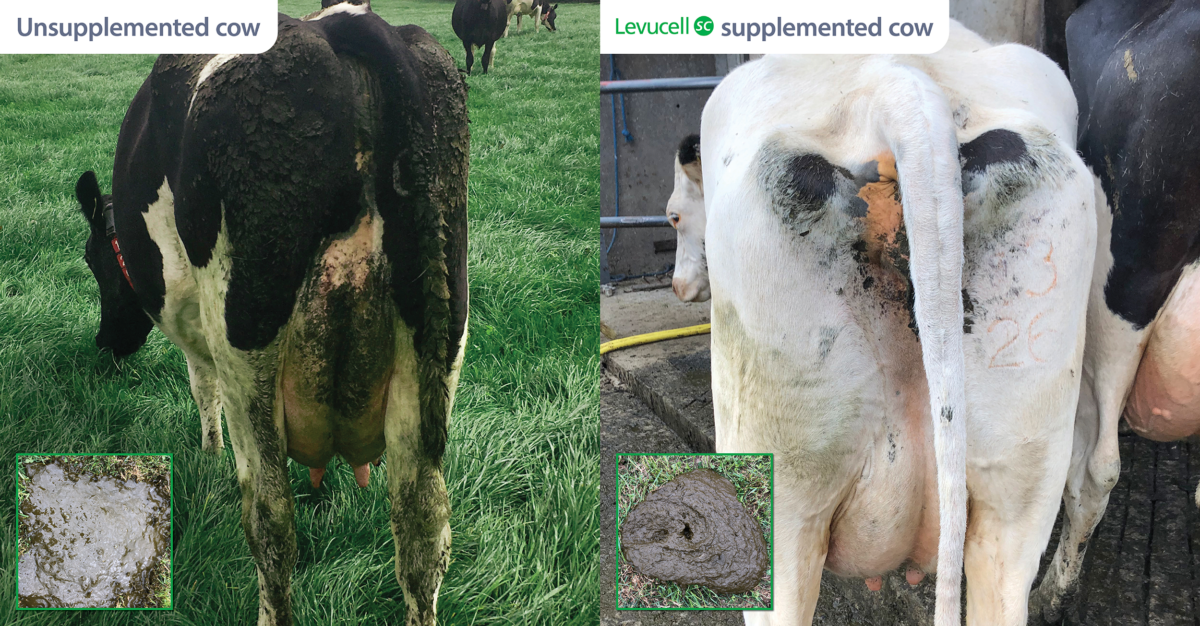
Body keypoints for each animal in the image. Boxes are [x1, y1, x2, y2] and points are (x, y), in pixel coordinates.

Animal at [72, 6, 469, 625]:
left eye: (94, 261)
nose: (104, 341)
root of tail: (341, 27)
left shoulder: (196, 323)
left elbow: (201, 386)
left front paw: (208, 454)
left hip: (248, 335)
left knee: (271, 519)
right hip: (439, 333)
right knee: (424, 527)